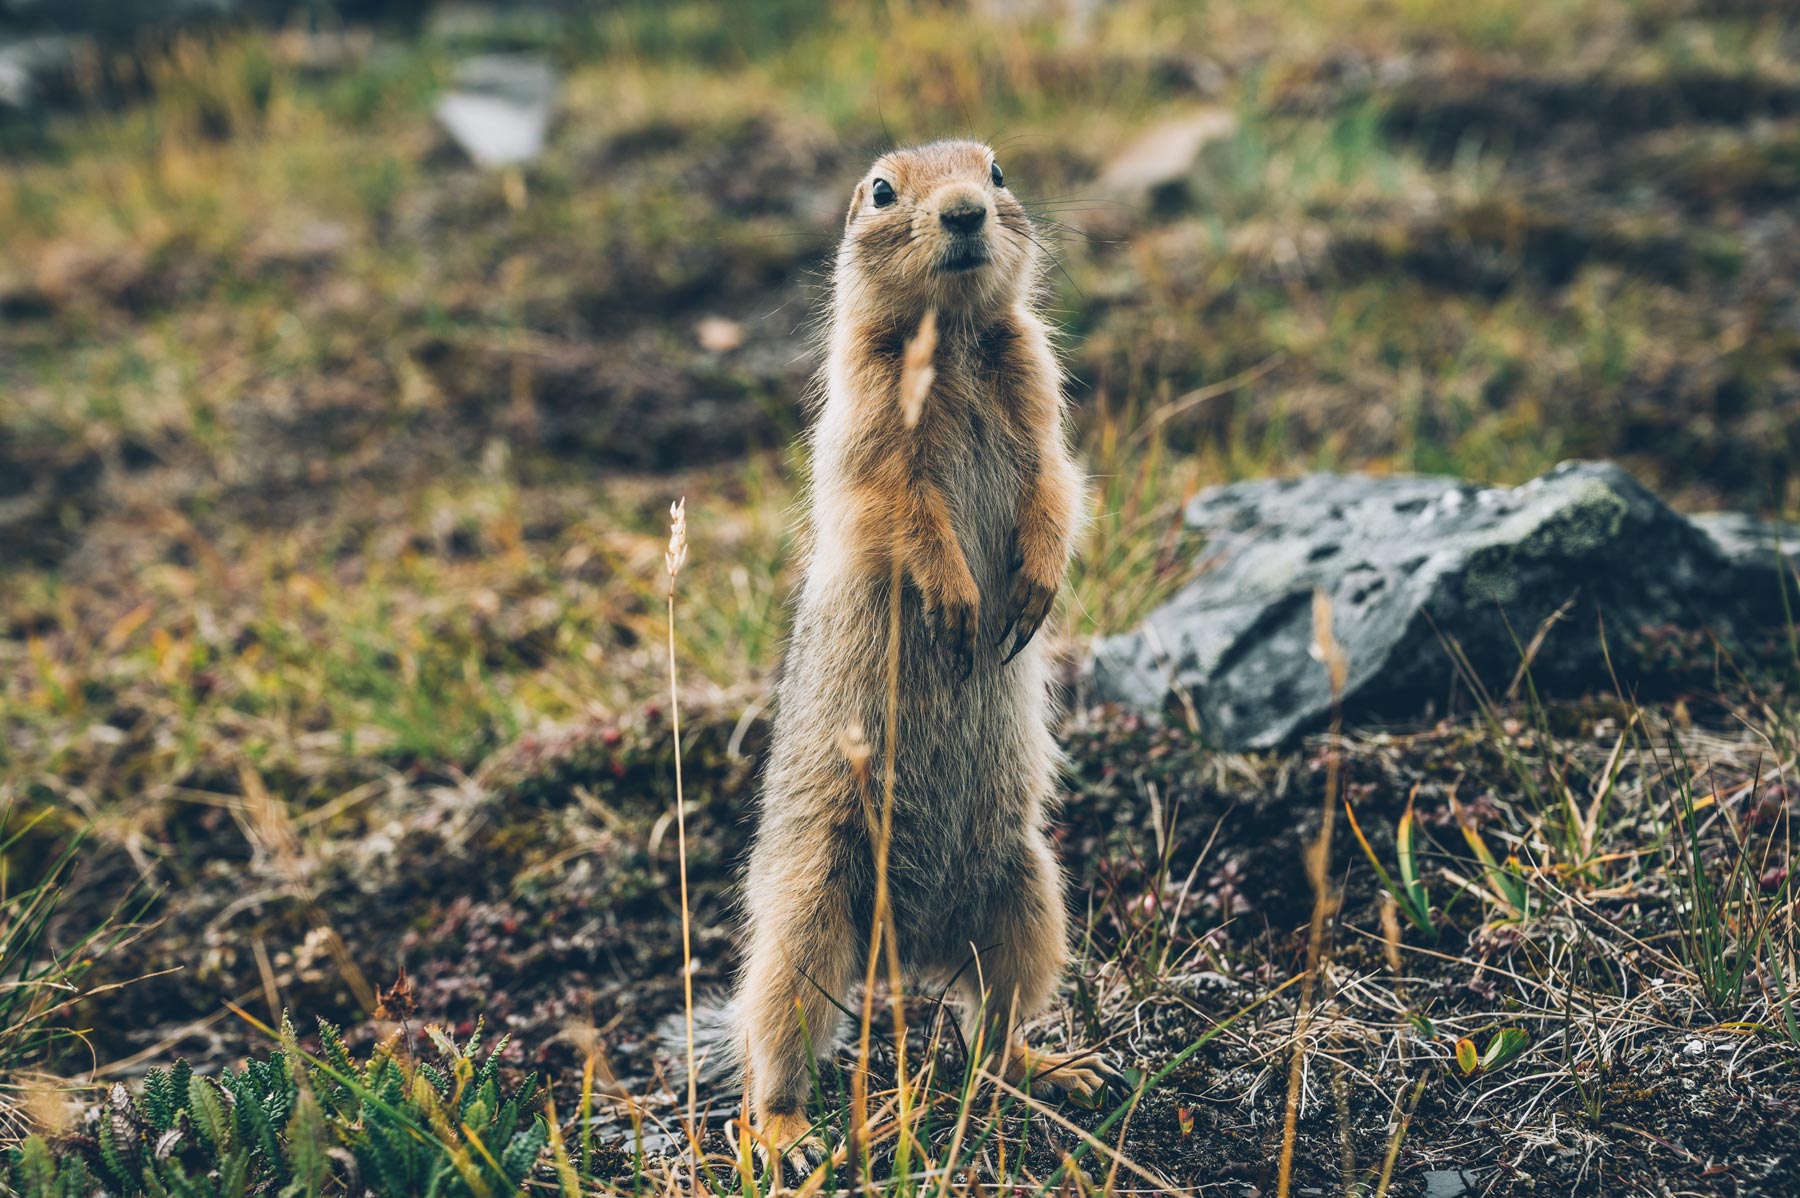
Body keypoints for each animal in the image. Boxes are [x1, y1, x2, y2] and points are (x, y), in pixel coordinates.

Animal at [723, 137, 1101, 1165]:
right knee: (776, 1036)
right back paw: (786, 1135)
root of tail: (909, 949)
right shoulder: (864, 414)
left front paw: (1032, 590)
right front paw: (960, 607)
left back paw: (1057, 1069)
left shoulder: (1039, 386)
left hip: (1030, 893)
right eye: (884, 190)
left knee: (992, 1022)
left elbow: (1056, 483)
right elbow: (900, 507)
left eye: (998, 170)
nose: (966, 209)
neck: (958, 341)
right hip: (806, 915)